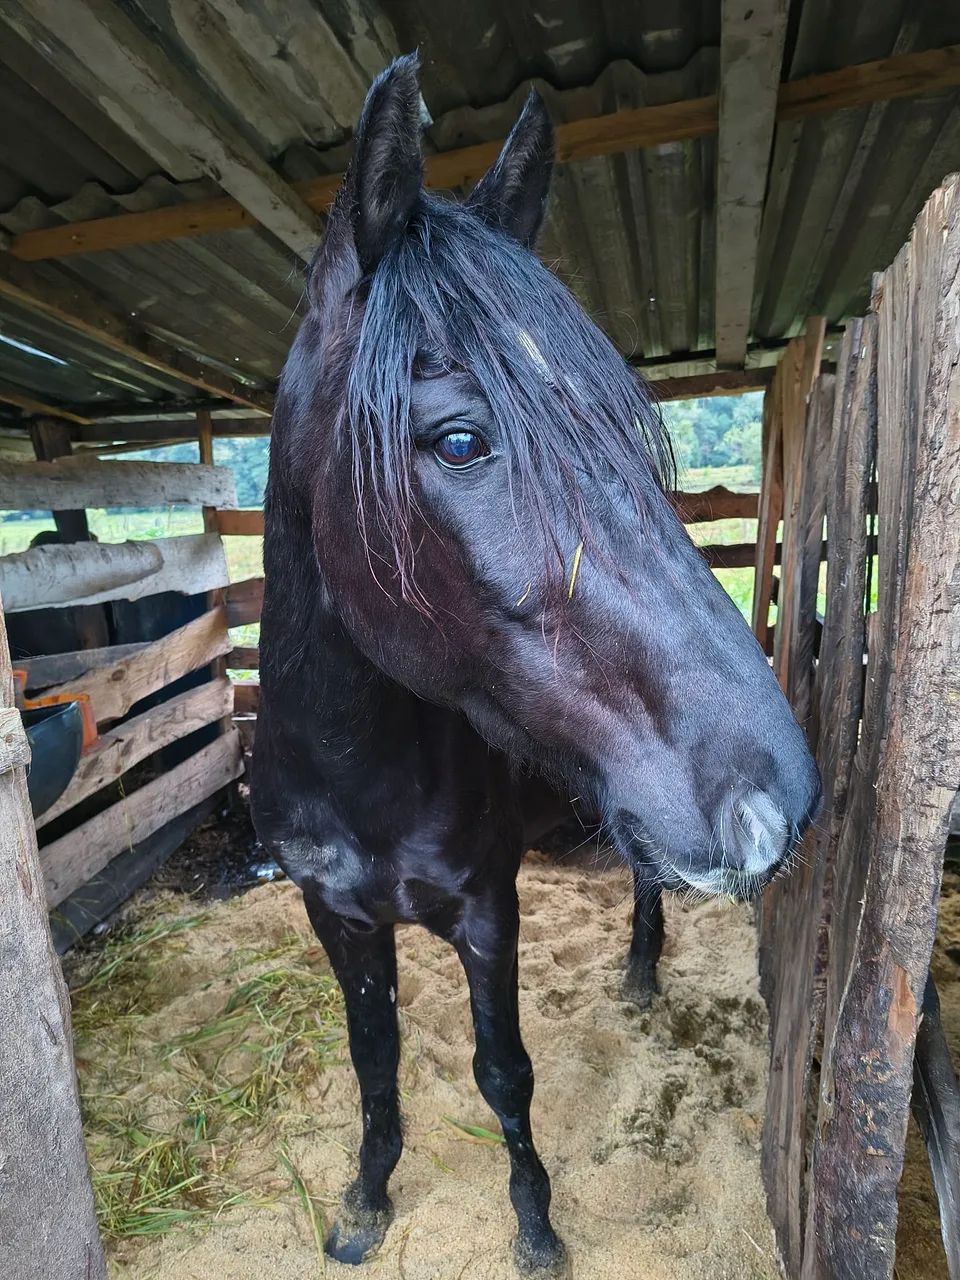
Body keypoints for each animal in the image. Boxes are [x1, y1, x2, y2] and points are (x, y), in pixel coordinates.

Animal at [251, 53, 820, 1278]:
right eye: (460, 440)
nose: (778, 797)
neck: (359, 771)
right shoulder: (336, 917)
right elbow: (376, 1064)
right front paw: (364, 1199)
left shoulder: (488, 907)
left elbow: (503, 1074)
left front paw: (536, 1223)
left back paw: (644, 977)